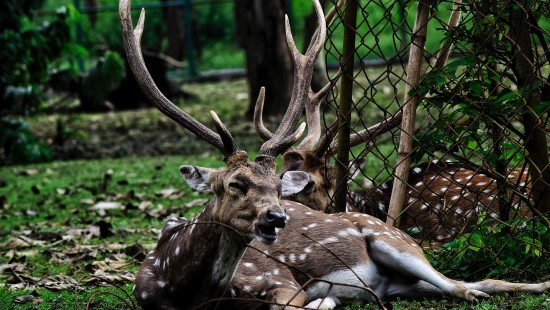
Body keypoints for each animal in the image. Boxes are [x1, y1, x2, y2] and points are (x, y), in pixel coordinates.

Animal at [123, 0, 548, 308]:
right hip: (405, 282)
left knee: (464, 284)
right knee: (465, 283)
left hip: (396, 241)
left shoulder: (280, 280)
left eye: (278, 186)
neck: (180, 287)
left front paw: (325, 300)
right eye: (234, 184)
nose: (277, 217)